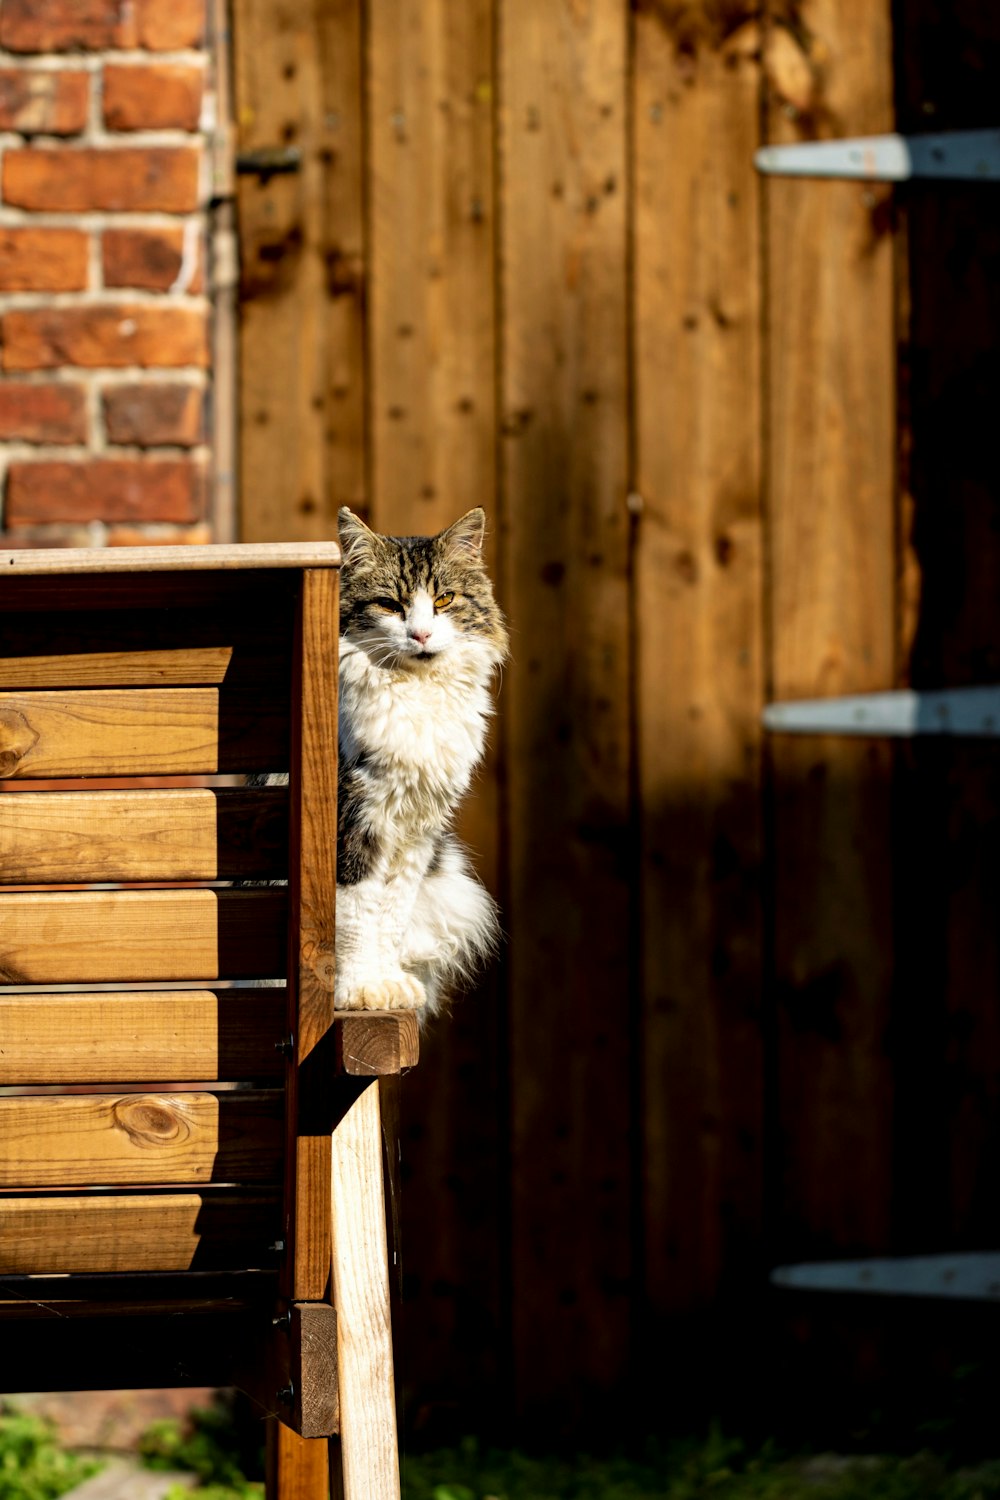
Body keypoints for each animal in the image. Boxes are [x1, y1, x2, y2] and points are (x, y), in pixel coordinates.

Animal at [335, 507, 509, 1020]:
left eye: (444, 600)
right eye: (390, 605)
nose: (421, 634)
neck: (416, 693)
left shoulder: (417, 830)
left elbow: (389, 916)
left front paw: (390, 985)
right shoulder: (356, 821)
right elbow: (356, 916)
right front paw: (358, 991)